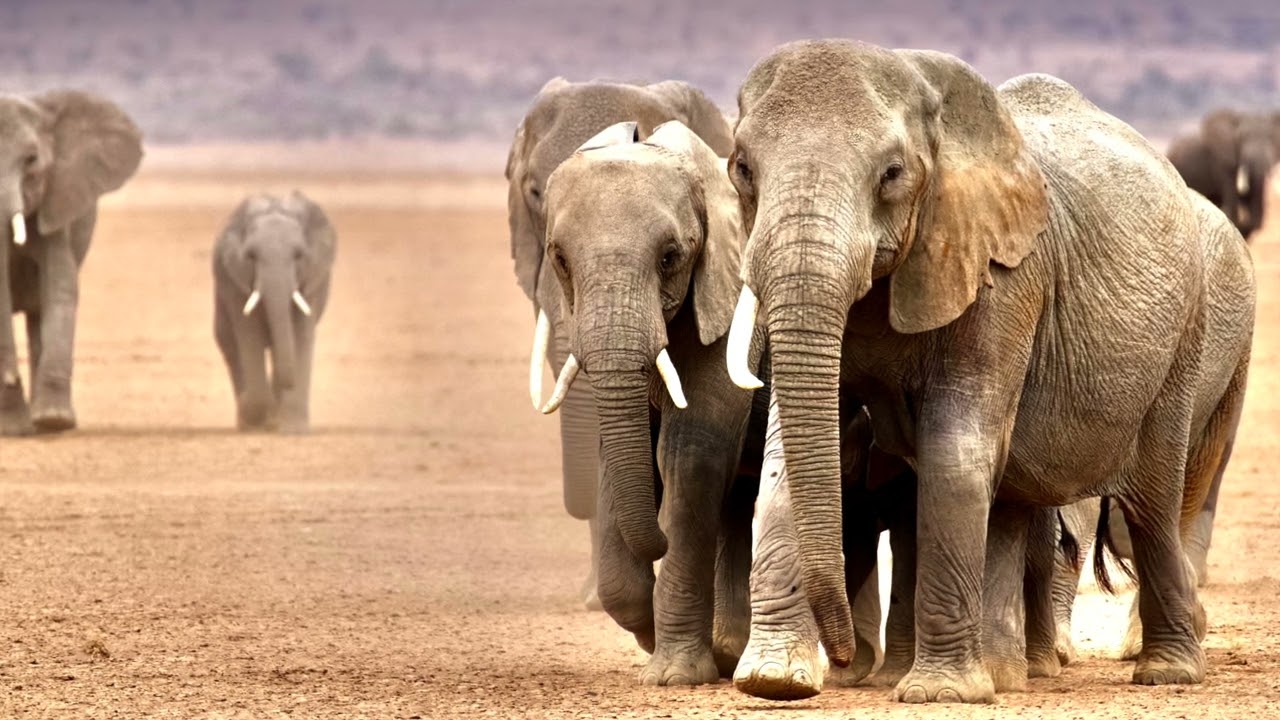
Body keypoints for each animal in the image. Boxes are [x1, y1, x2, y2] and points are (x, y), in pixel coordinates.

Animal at [0, 90, 143, 435]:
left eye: (31, 160)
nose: (9, 378)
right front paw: (12, 430)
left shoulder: (59, 198)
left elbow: (60, 287)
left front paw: (55, 421)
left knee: (37, 318)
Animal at [213, 191, 336, 433]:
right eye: (251, 256)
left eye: (299, 255)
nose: (243, 401)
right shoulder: (234, 282)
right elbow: (249, 335)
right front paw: (256, 414)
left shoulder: (313, 280)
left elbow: (300, 334)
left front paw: (293, 430)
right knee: (231, 348)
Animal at [722, 41, 1254, 703]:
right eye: (742, 168)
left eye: (892, 174)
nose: (845, 658)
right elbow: (786, 454)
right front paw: (774, 681)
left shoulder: (1005, 274)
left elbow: (956, 449)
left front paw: (937, 694)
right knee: (1013, 497)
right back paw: (1009, 676)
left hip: (1186, 340)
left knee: (1153, 507)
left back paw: (1166, 671)